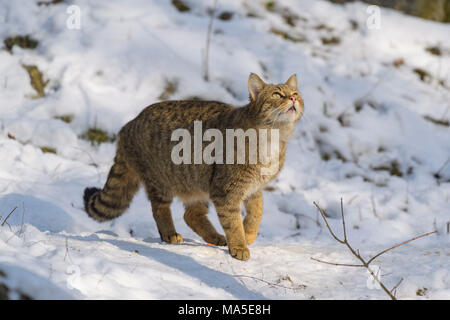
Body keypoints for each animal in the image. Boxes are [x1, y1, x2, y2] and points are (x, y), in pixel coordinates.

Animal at [84, 74, 302, 262]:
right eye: (277, 94)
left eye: (295, 93)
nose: (292, 97)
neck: (273, 137)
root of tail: (128, 125)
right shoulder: (226, 190)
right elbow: (233, 222)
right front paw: (239, 246)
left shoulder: (254, 188)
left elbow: (257, 212)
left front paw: (248, 235)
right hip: (162, 182)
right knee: (160, 209)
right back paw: (170, 234)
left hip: (196, 184)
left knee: (190, 215)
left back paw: (215, 237)